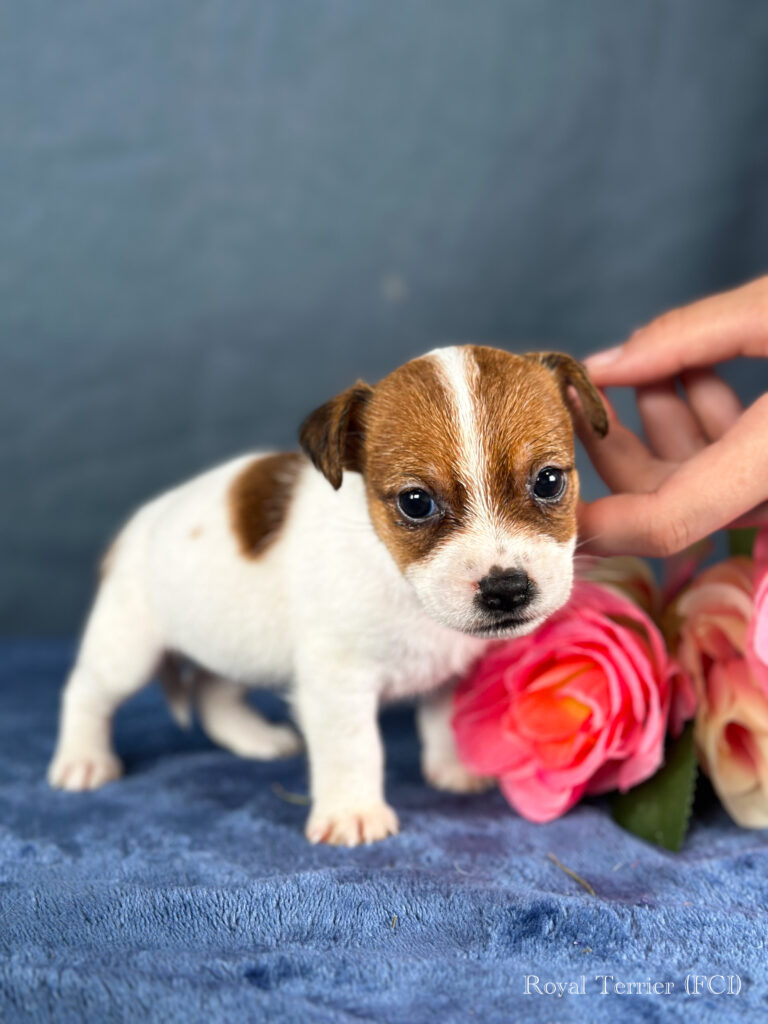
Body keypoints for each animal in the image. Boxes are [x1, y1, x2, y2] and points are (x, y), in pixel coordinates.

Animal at [49, 348, 606, 843]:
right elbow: (354, 748)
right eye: (416, 502)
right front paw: (352, 813)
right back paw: (82, 759)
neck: (400, 583)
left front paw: (453, 769)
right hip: (127, 649)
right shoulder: (338, 683)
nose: (506, 589)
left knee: (212, 689)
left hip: (231, 643)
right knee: (86, 692)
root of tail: (132, 530)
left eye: (549, 481)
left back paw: (253, 738)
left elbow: (443, 721)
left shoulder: (448, 670)